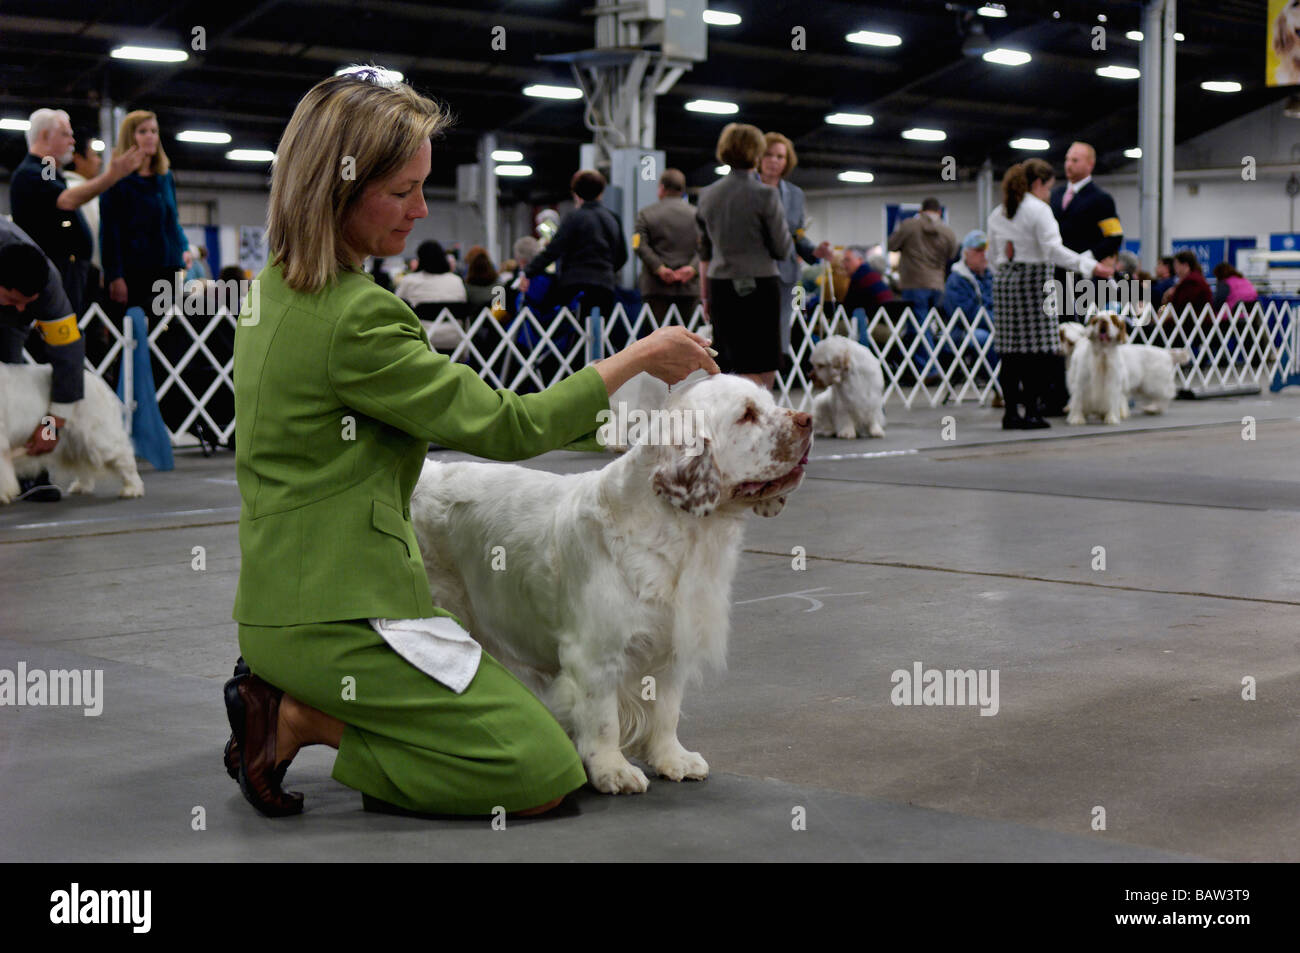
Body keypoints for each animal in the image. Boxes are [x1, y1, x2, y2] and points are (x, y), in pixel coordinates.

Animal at [1, 361, 144, 501]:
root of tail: (96, 381)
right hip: (76, 441)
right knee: (84, 463)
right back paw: (81, 486)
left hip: (97, 438)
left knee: (124, 456)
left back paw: (132, 488)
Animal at [408, 374, 811, 790]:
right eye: (747, 415)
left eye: (771, 402)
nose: (807, 420)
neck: (676, 531)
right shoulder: (594, 653)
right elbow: (603, 720)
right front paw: (612, 770)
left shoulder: (671, 642)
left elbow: (667, 709)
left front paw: (673, 759)